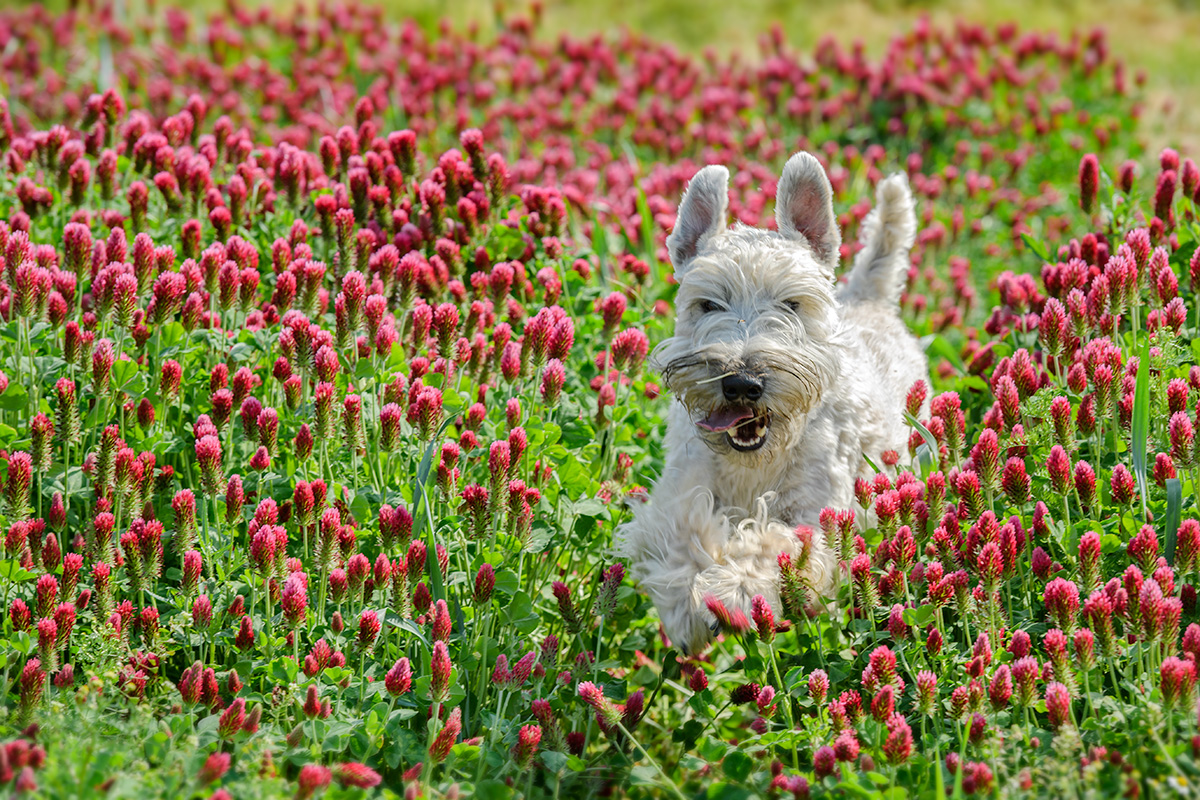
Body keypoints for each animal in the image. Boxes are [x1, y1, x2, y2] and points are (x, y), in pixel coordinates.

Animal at [619, 151, 926, 657]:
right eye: (708, 304)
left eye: (792, 303)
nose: (742, 383)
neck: (754, 463)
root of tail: (869, 297)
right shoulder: (679, 490)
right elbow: (681, 529)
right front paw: (687, 602)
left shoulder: (820, 516)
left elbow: (773, 544)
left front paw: (732, 591)